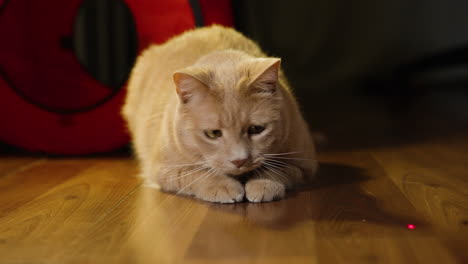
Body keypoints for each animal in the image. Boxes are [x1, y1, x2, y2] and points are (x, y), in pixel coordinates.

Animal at [121, 24, 318, 203]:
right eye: (213, 133)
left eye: (256, 129)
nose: (239, 160)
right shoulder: (164, 169)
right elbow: (198, 174)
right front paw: (221, 185)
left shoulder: (304, 164)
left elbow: (277, 169)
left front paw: (264, 184)